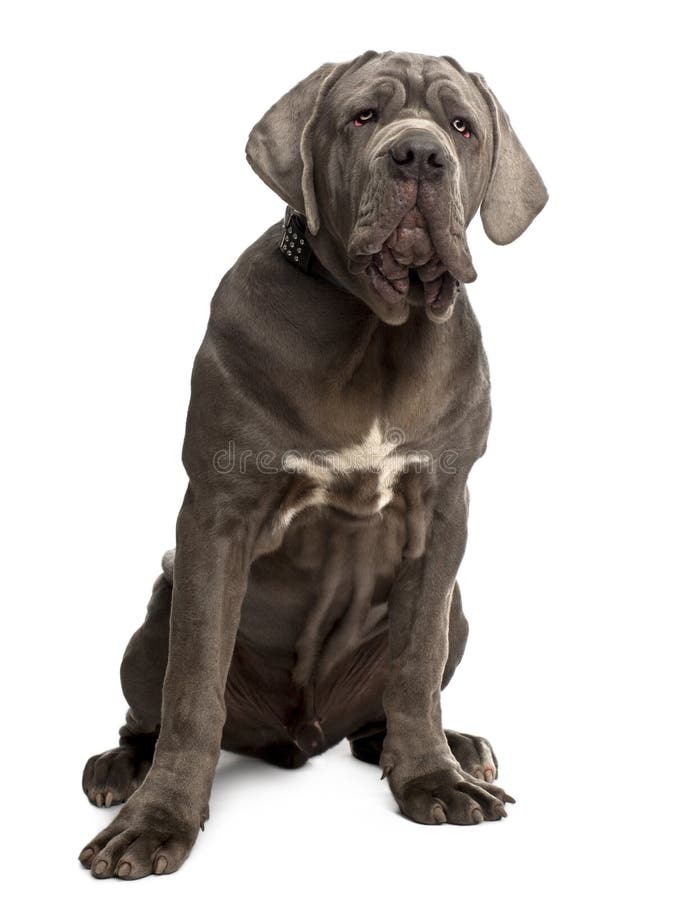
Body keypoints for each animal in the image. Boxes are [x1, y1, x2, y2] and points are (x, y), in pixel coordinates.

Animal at [79, 49, 548, 880]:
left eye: (461, 126)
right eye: (363, 116)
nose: (419, 154)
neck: (375, 329)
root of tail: (304, 733)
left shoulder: (444, 512)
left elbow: (415, 665)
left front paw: (431, 776)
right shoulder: (218, 517)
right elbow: (193, 688)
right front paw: (158, 821)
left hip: (458, 610)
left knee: (387, 707)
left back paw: (453, 748)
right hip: (155, 616)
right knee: (149, 709)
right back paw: (119, 768)